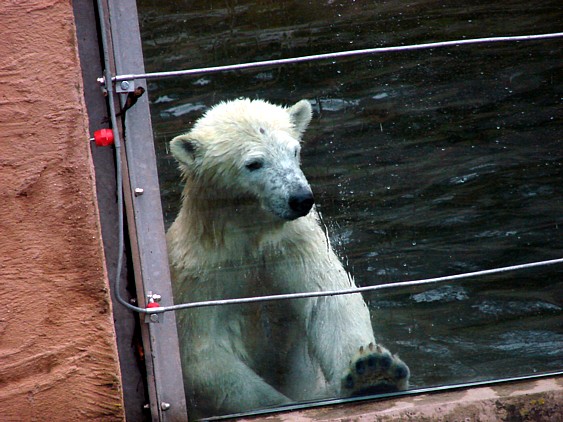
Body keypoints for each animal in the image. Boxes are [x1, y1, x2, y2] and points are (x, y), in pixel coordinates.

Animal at [166, 98, 409, 418]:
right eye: (254, 163)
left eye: (294, 150)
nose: (300, 198)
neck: (249, 237)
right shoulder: (199, 274)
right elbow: (203, 353)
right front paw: (285, 405)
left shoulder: (293, 245)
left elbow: (328, 303)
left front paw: (371, 370)